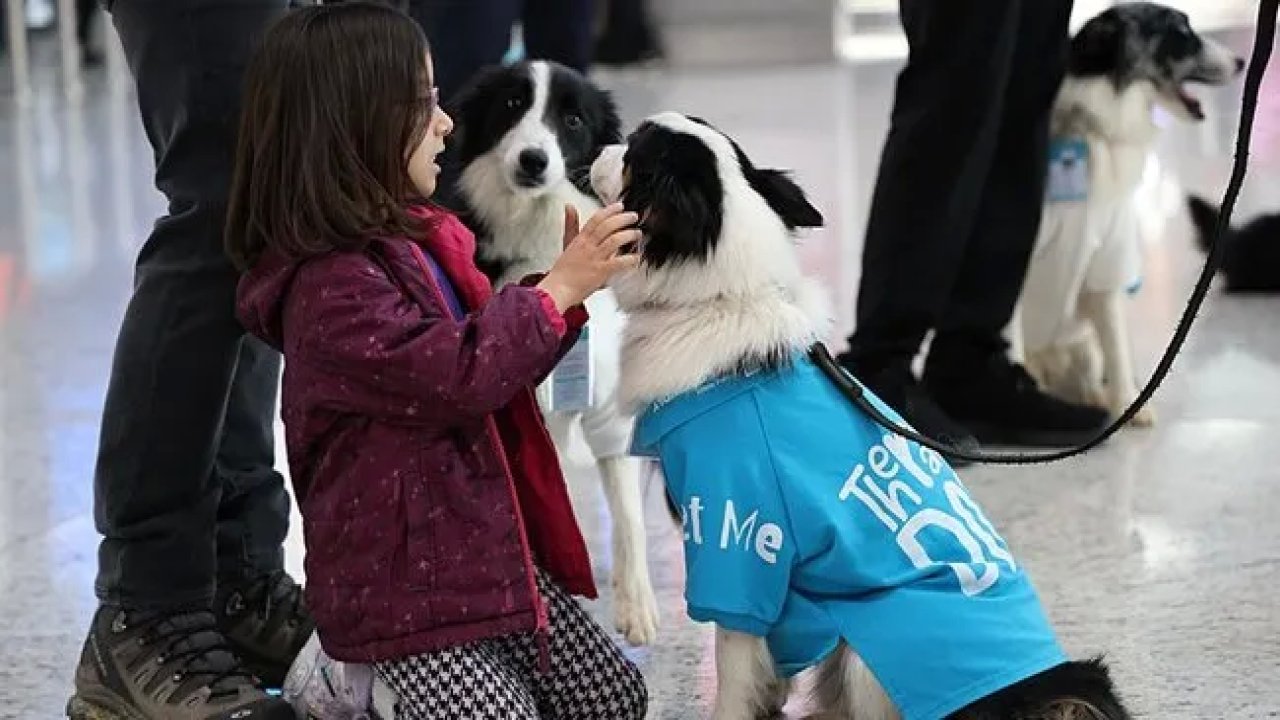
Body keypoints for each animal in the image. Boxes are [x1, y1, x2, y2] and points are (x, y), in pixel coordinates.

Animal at [588, 112, 1131, 717]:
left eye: (633, 151)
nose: (599, 144)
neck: (729, 293)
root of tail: (1037, 693)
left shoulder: (736, 538)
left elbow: (733, 671)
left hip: (873, 649)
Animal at [1008, 0, 1239, 422]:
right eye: (1180, 32)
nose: (1242, 61)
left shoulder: (1109, 256)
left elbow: (1116, 345)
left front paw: (1126, 406)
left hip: (1082, 349)